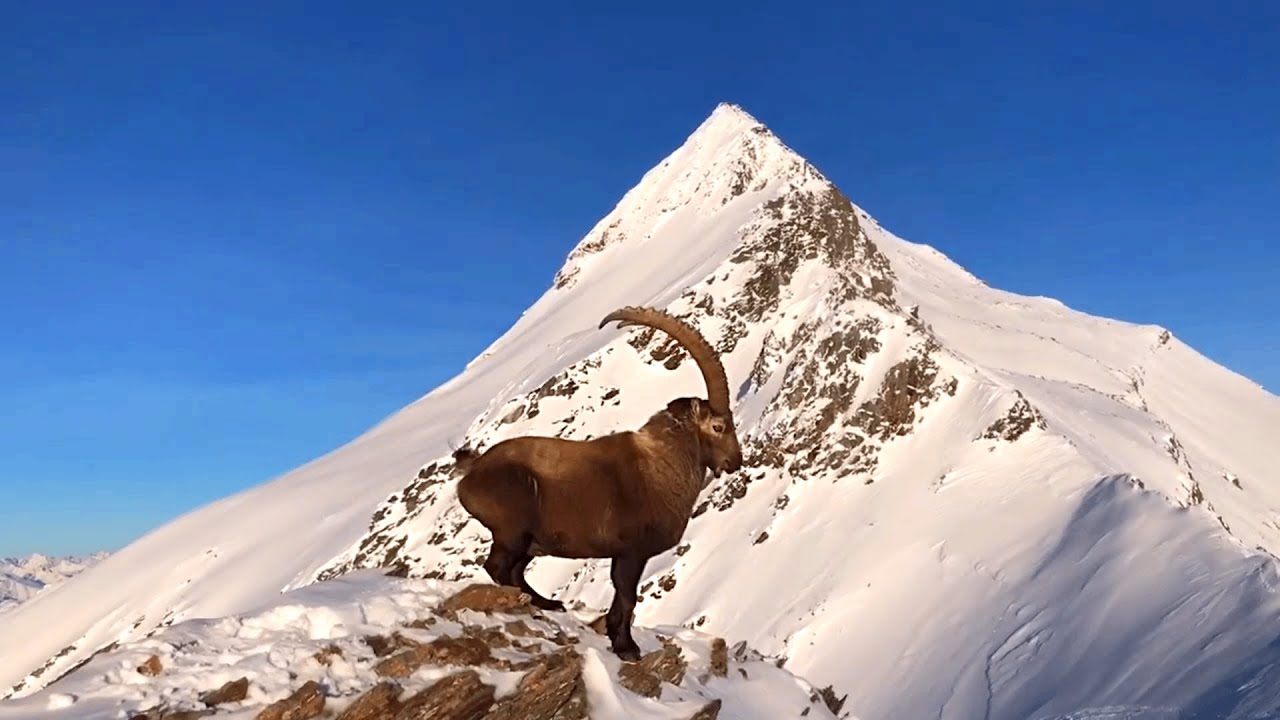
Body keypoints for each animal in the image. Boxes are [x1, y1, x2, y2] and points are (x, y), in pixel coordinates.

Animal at [452, 305, 744, 661]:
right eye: (718, 426)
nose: (735, 461)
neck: (661, 467)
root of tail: (473, 470)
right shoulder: (632, 551)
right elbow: (628, 598)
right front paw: (627, 648)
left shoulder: (624, 555)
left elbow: (621, 600)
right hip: (513, 529)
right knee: (498, 567)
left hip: (532, 542)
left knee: (515, 570)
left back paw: (548, 603)